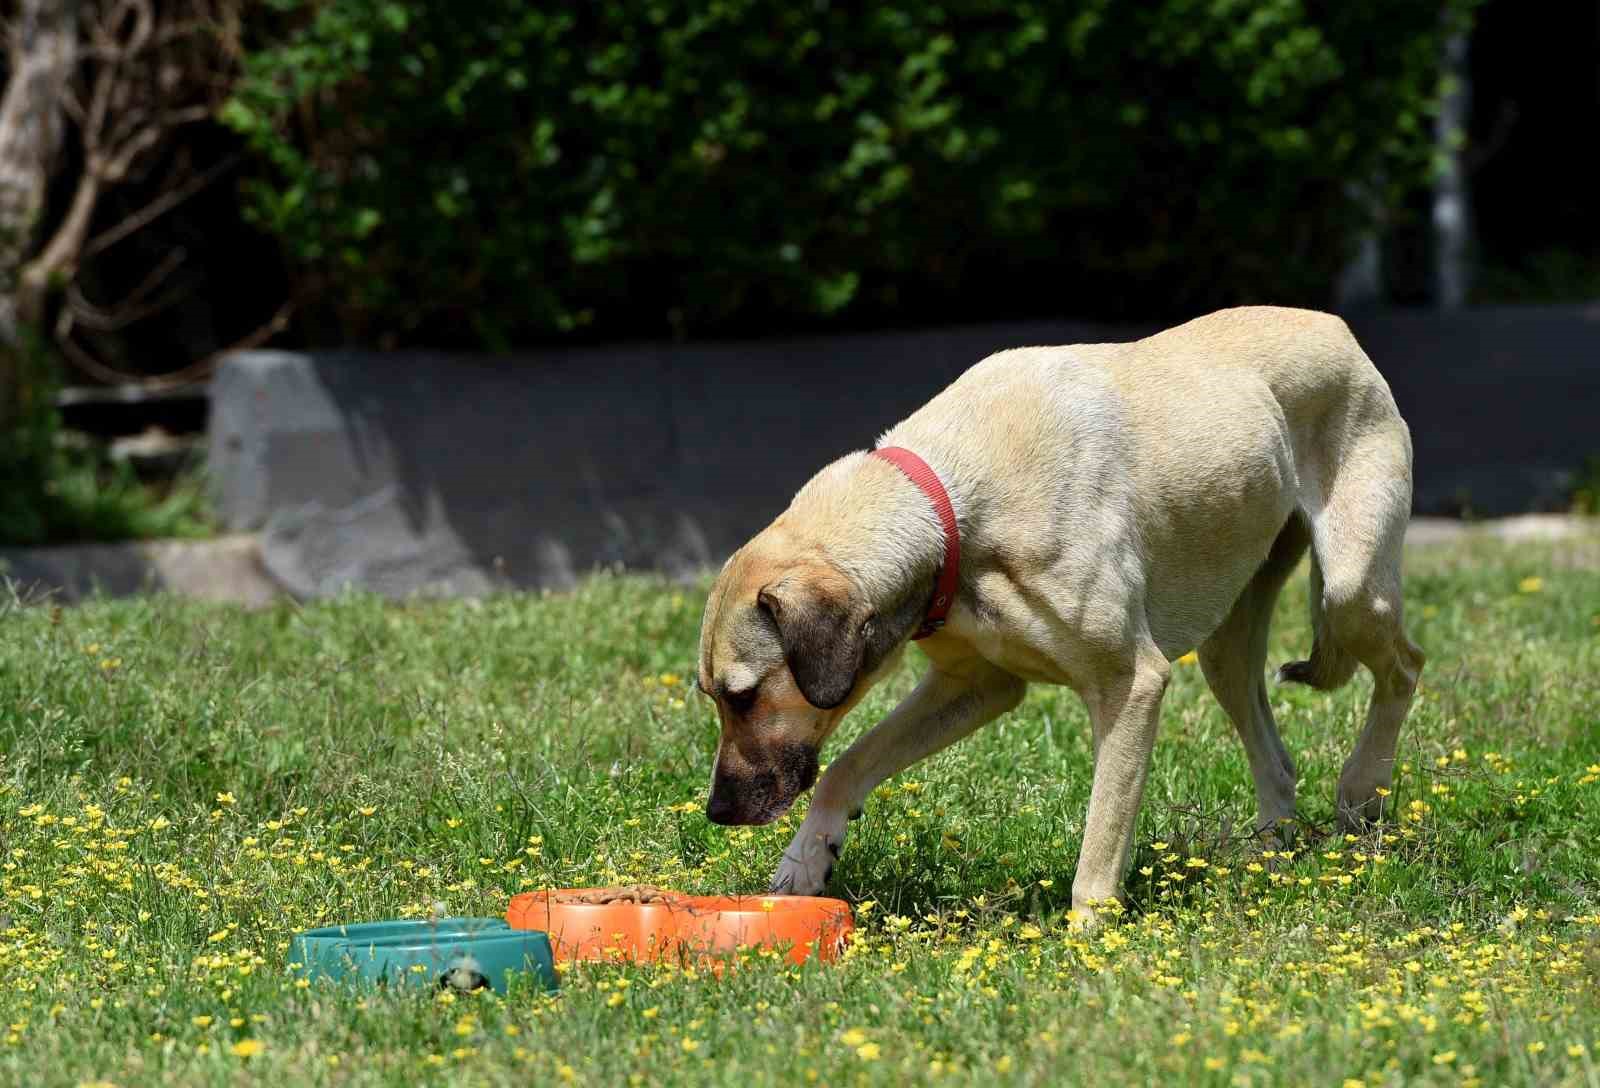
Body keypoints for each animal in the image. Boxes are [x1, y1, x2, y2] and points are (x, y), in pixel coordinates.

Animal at [700, 305, 1427, 928]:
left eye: (744, 695)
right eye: (713, 697)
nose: (718, 811)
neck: (950, 504)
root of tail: (1334, 325)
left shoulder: (1131, 685)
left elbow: (1102, 837)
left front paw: (1089, 940)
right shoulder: (977, 686)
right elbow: (847, 765)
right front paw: (806, 859)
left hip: (1352, 592)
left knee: (1406, 667)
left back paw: (1362, 792)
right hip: (1228, 645)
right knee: (1275, 758)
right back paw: (1272, 855)